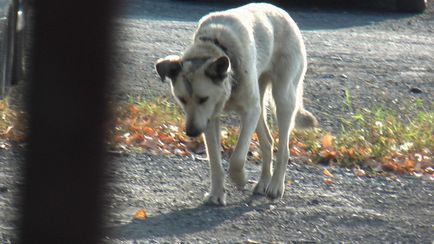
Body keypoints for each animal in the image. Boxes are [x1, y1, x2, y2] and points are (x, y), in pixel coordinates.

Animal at [155, 2, 316, 206]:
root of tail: (281, 11)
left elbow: (237, 157)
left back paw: (275, 186)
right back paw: (264, 182)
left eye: (203, 98)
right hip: (259, 106)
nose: (191, 132)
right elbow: (214, 161)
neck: (213, 47)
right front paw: (216, 194)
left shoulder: (247, 112)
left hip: (282, 98)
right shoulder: (209, 119)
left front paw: (240, 179)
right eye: (182, 99)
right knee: (268, 142)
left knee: (284, 149)